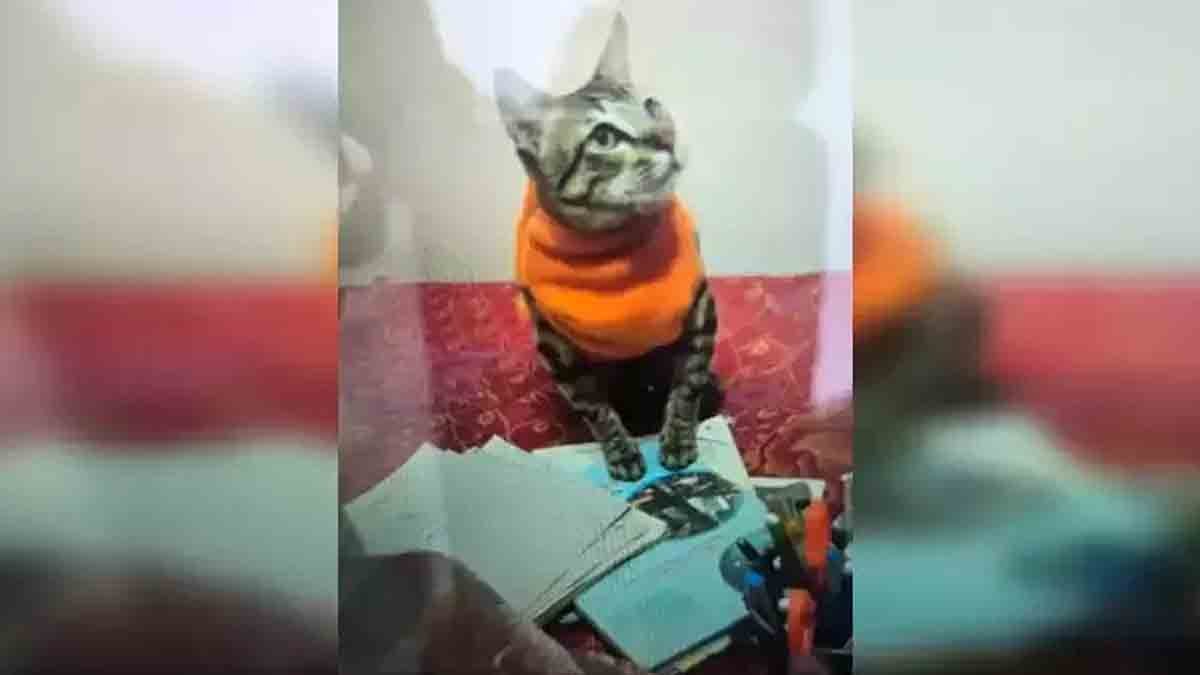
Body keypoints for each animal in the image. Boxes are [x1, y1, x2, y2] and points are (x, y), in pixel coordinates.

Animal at [492, 13, 715, 480]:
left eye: (652, 105)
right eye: (605, 137)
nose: (665, 136)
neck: (613, 244)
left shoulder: (701, 310)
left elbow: (687, 384)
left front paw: (679, 438)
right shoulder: (556, 347)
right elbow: (594, 407)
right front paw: (620, 450)